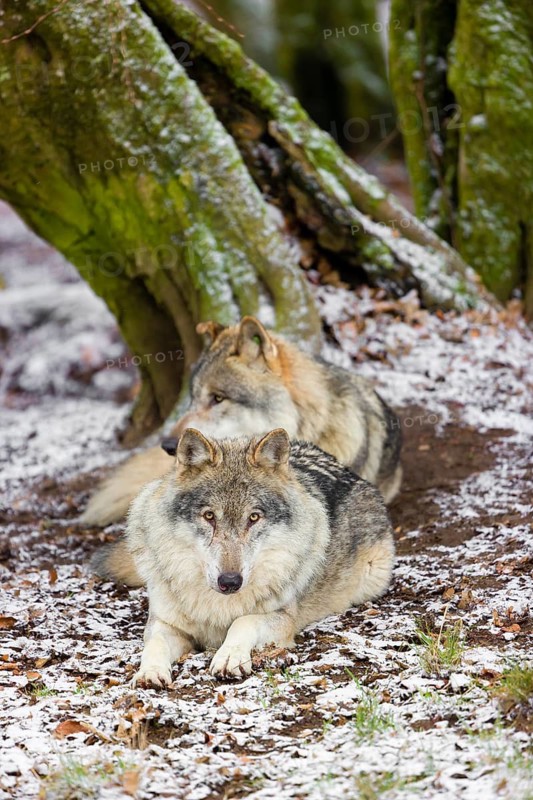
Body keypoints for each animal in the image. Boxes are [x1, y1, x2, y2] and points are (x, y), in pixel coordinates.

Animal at [105, 427, 394, 686]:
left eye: (253, 517)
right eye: (209, 516)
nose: (230, 582)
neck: (217, 607)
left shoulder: (282, 618)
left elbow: (243, 621)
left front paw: (229, 657)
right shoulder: (164, 623)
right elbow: (154, 645)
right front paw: (149, 673)